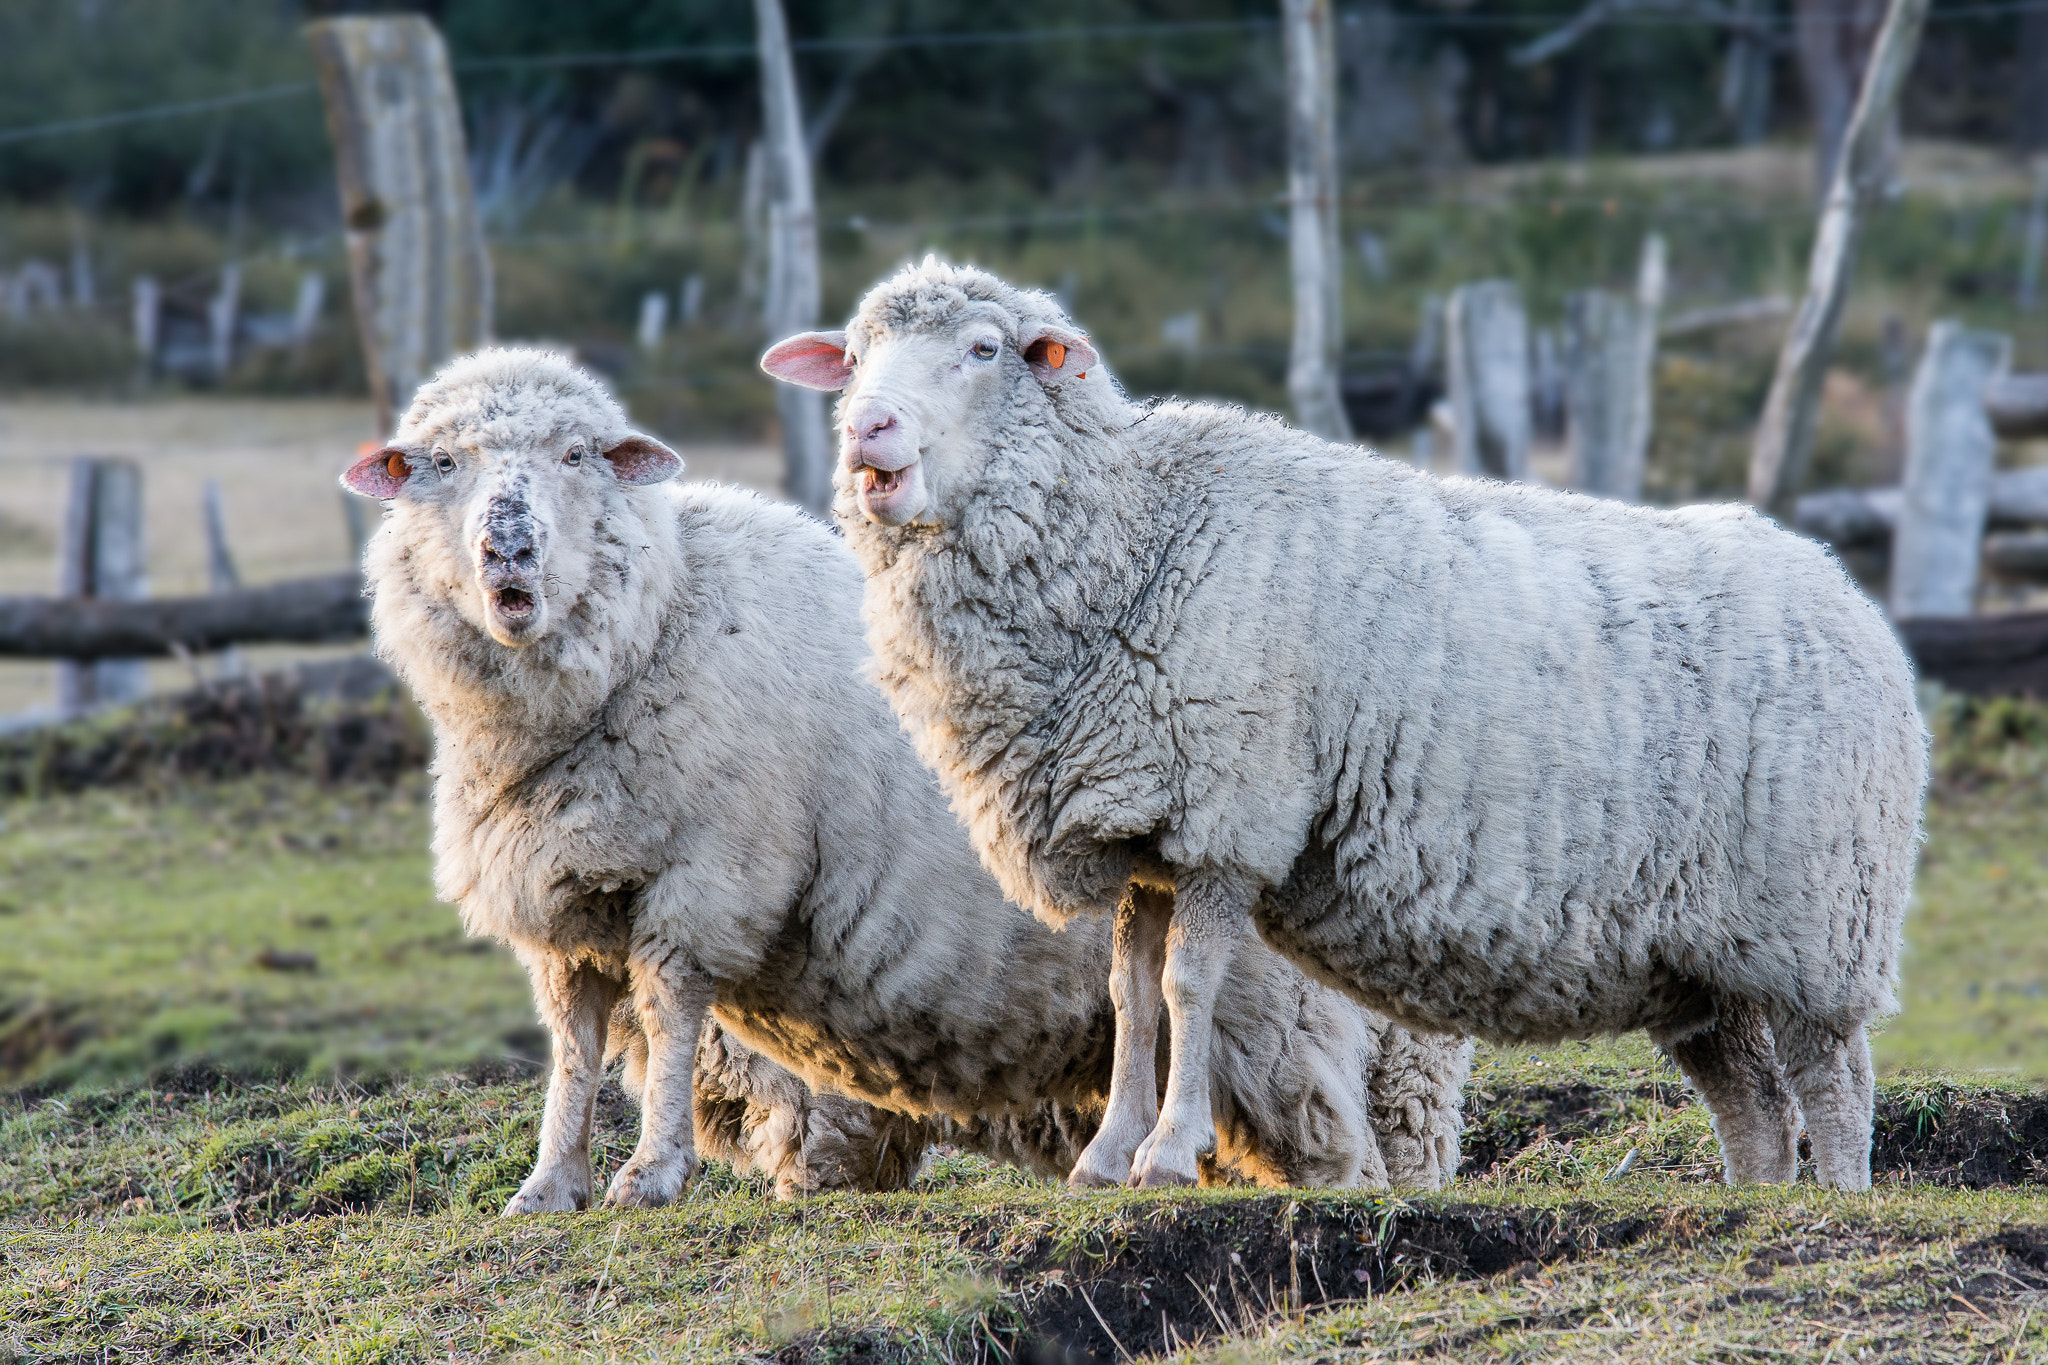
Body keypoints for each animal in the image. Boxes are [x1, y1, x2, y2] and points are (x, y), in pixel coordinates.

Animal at [348, 347, 1474, 1211]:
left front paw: (650, 1175)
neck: (656, 626)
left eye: (579, 456)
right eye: (438, 464)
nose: (508, 545)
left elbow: (669, 1020)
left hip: (1290, 1031)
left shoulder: (705, 882)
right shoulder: (569, 898)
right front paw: (551, 1184)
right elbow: (575, 1047)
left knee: (1339, 1148)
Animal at [761, 258, 1925, 1195]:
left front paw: (1169, 1154)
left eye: (983, 350)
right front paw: (1106, 1157)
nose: (867, 430)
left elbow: (1187, 985)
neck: (1135, 538)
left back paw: (1836, 1200)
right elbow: (1130, 995)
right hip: (1703, 954)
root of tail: (1845, 591)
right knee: (1749, 1094)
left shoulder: (1229, 814)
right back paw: (1760, 1199)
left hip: (1819, 919)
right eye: (853, 357)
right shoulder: (1144, 823)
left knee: (1832, 1078)